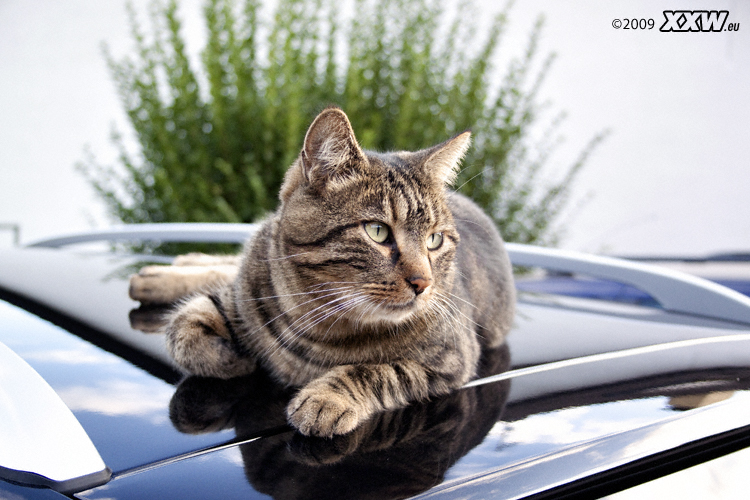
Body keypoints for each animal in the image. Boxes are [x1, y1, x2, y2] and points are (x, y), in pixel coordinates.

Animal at [129, 106, 516, 438]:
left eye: (435, 240)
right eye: (378, 231)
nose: (424, 283)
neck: (318, 318)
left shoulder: (452, 359)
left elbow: (378, 370)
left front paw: (327, 397)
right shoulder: (240, 295)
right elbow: (184, 332)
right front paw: (232, 357)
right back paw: (163, 272)